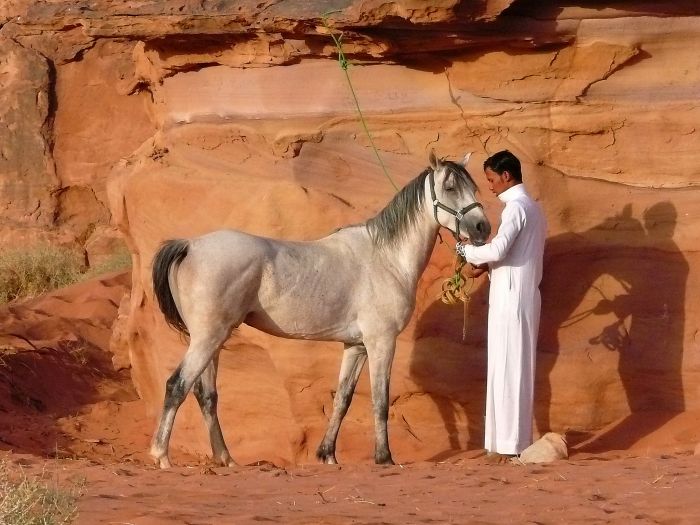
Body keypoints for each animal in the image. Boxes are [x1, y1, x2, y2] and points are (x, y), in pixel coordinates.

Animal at [150, 150, 490, 466]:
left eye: (473, 187)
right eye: (449, 187)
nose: (482, 228)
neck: (386, 257)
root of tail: (190, 245)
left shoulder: (356, 346)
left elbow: (343, 398)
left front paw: (327, 454)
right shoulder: (381, 342)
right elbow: (380, 400)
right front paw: (384, 457)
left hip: (214, 341)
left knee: (206, 395)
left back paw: (225, 458)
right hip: (207, 338)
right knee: (176, 385)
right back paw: (161, 455)